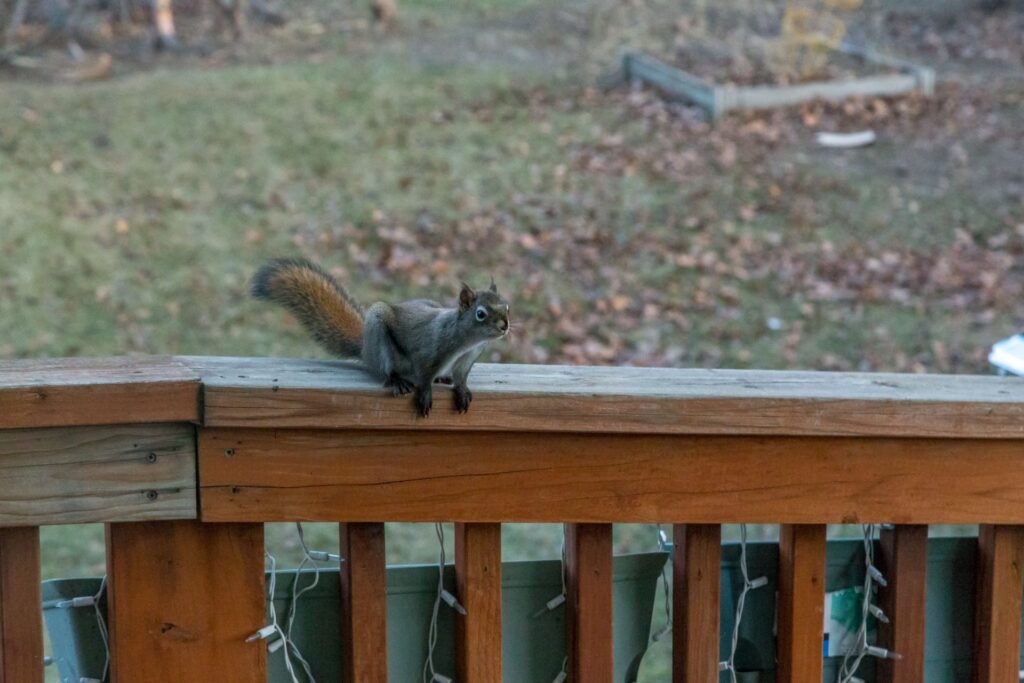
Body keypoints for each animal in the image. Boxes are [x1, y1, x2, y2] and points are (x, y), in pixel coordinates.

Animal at [251, 258, 510, 417]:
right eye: (480, 314)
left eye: (506, 306)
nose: (505, 326)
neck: (467, 342)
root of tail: (366, 350)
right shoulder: (430, 350)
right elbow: (424, 375)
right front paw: (426, 394)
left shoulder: (467, 360)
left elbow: (461, 377)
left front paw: (461, 390)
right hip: (379, 335)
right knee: (386, 369)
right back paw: (396, 380)